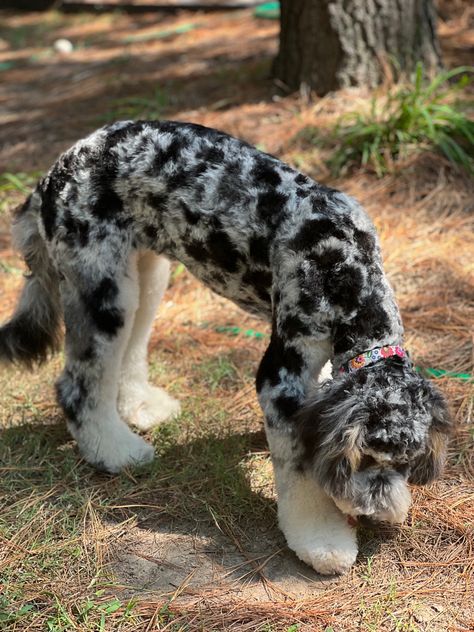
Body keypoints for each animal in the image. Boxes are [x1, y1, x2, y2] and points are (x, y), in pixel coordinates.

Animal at [0, 121, 452, 576]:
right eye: (364, 458)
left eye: (405, 463)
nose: (373, 514)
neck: (342, 269)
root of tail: (52, 175)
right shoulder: (282, 378)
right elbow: (302, 474)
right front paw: (322, 540)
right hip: (101, 289)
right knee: (77, 386)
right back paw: (115, 451)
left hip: (144, 275)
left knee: (126, 353)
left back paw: (140, 407)